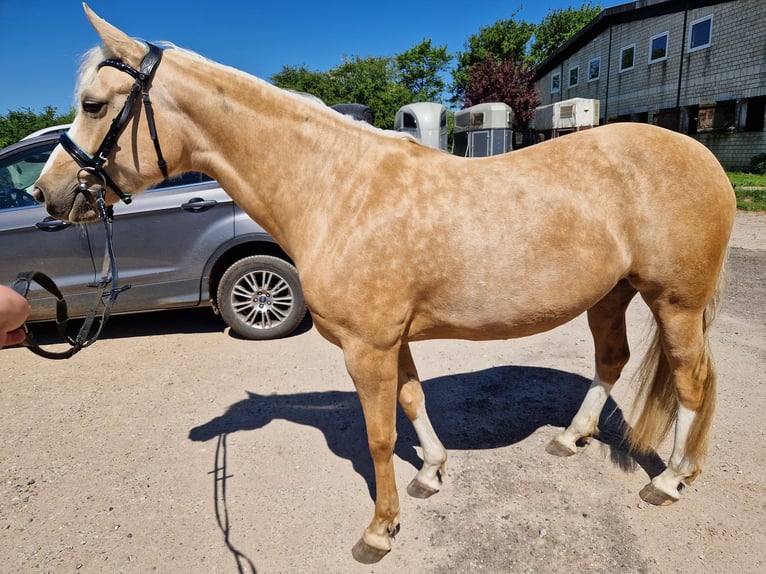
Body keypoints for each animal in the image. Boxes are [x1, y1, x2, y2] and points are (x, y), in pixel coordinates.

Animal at [34, 3, 736, 564]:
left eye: (93, 105)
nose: (48, 194)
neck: (339, 190)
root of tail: (702, 156)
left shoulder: (365, 346)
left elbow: (378, 436)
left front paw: (380, 529)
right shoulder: (391, 341)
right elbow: (412, 401)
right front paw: (432, 472)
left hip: (675, 302)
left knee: (692, 380)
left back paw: (670, 480)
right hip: (611, 295)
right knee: (612, 360)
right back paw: (572, 436)